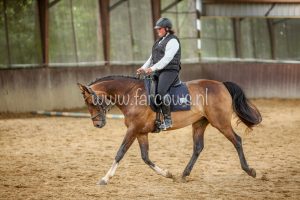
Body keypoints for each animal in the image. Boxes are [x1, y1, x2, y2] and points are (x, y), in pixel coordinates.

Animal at [78, 75, 262, 184]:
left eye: (91, 102)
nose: (97, 124)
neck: (131, 94)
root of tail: (221, 84)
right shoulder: (141, 132)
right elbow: (145, 157)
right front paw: (167, 174)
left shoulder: (133, 129)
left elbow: (120, 152)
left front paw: (105, 178)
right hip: (199, 123)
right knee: (198, 147)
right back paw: (184, 174)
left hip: (221, 123)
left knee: (237, 140)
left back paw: (250, 171)